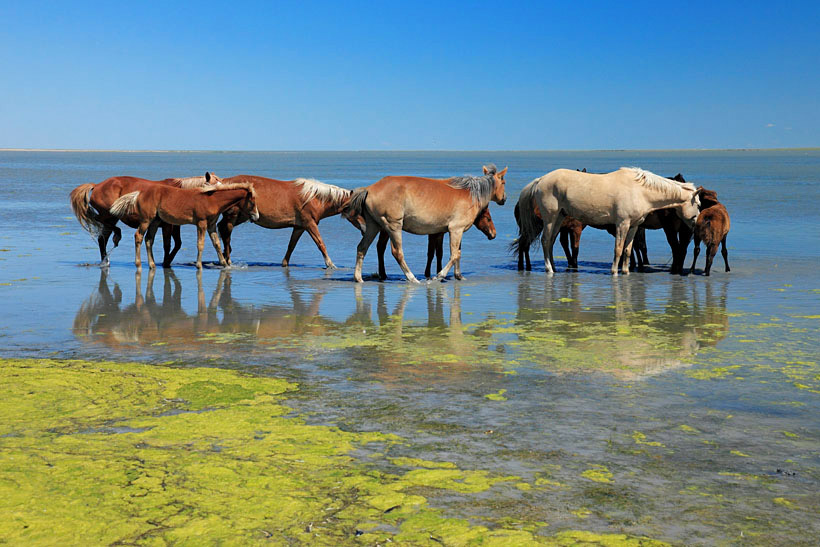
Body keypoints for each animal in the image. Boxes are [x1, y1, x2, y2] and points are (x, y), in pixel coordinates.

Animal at [69, 171, 221, 266]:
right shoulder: (167, 225)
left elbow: (177, 243)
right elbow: (168, 245)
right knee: (97, 220)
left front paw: (167, 261)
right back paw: (116, 236)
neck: (180, 193)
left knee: (102, 238)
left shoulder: (174, 225)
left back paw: (105, 260)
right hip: (109, 214)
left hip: (111, 218)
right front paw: (165, 263)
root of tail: (97, 186)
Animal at [108, 184, 256, 270]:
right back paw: (138, 264)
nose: (256, 216)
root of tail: (139, 193)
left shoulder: (211, 225)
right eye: (252, 202)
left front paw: (225, 264)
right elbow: (200, 244)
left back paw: (152, 265)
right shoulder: (201, 223)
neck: (213, 200)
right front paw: (199, 265)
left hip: (155, 221)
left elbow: (217, 244)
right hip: (146, 220)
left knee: (149, 239)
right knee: (138, 236)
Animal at [215, 177, 350, 268]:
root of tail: (223, 181)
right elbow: (320, 244)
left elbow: (291, 245)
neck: (313, 198)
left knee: (221, 228)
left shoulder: (299, 227)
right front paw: (330, 264)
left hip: (241, 217)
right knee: (226, 233)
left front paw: (285, 263)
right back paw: (227, 259)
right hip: (233, 216)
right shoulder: (310, 224)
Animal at [342, 164, 506, 284]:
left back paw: (358, 278)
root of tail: (369, 189)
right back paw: (411, 278)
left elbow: (456, 254)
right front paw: (439, 275)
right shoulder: (455, 230)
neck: (469, 194)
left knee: (362, 248)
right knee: (396, 252)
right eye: (504, 182)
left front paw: (458, 275)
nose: (504, 199)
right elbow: (454, 255)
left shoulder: (451, 232)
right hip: (393, 226)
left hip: (373, 226)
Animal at [516, 167, 700, 276]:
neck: (640, 190)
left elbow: (628, 250)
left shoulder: (634, 226)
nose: (695, 224)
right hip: (550, 218)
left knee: (551, 242)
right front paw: (614, 272)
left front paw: (625, 271)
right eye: (698, 204)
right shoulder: (622, 224)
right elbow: (618, 249)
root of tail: (540, 180)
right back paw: (549, 269)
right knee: (545, 241)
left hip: (559, 218)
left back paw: (554, 267)